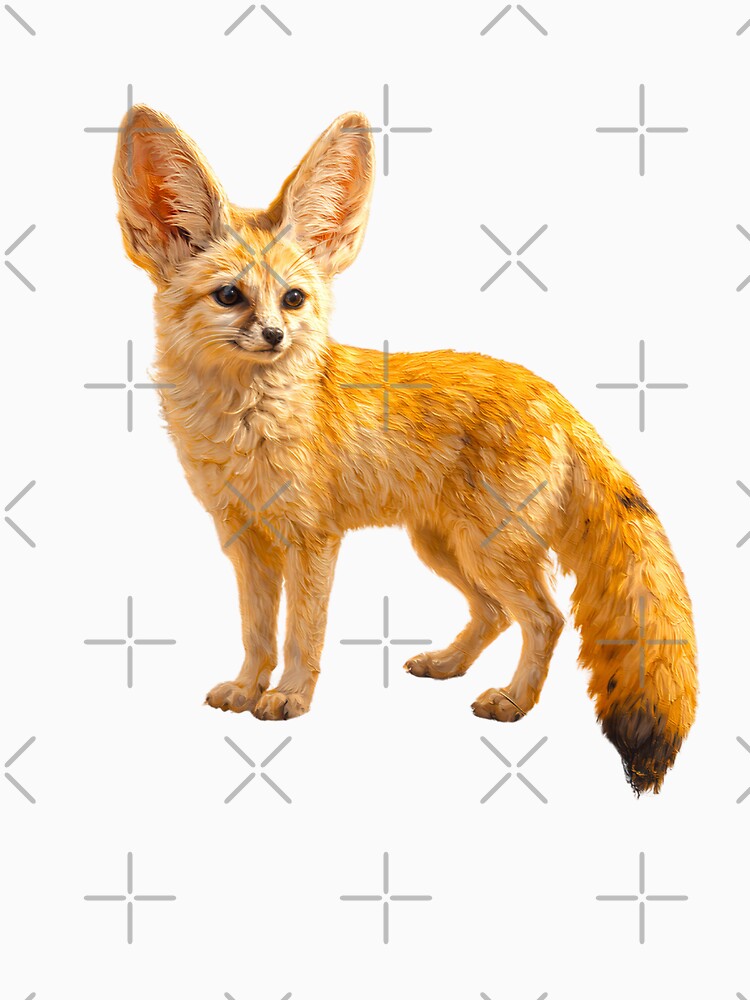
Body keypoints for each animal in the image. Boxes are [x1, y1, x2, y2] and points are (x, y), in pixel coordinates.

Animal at [112, 105, 697, 793]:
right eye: (230, 296)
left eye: (292, 298)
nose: (276, 336)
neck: (246, 428)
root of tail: (556, 397)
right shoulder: (243, 538)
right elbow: (257, 633)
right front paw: (247, 688)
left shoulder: (312, 540)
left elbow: (302, 634)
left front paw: (289, 698)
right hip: (446, 547)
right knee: (496, 615)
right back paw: (449, 665)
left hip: (487, 548)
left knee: (545, 618)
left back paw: (514, 702)